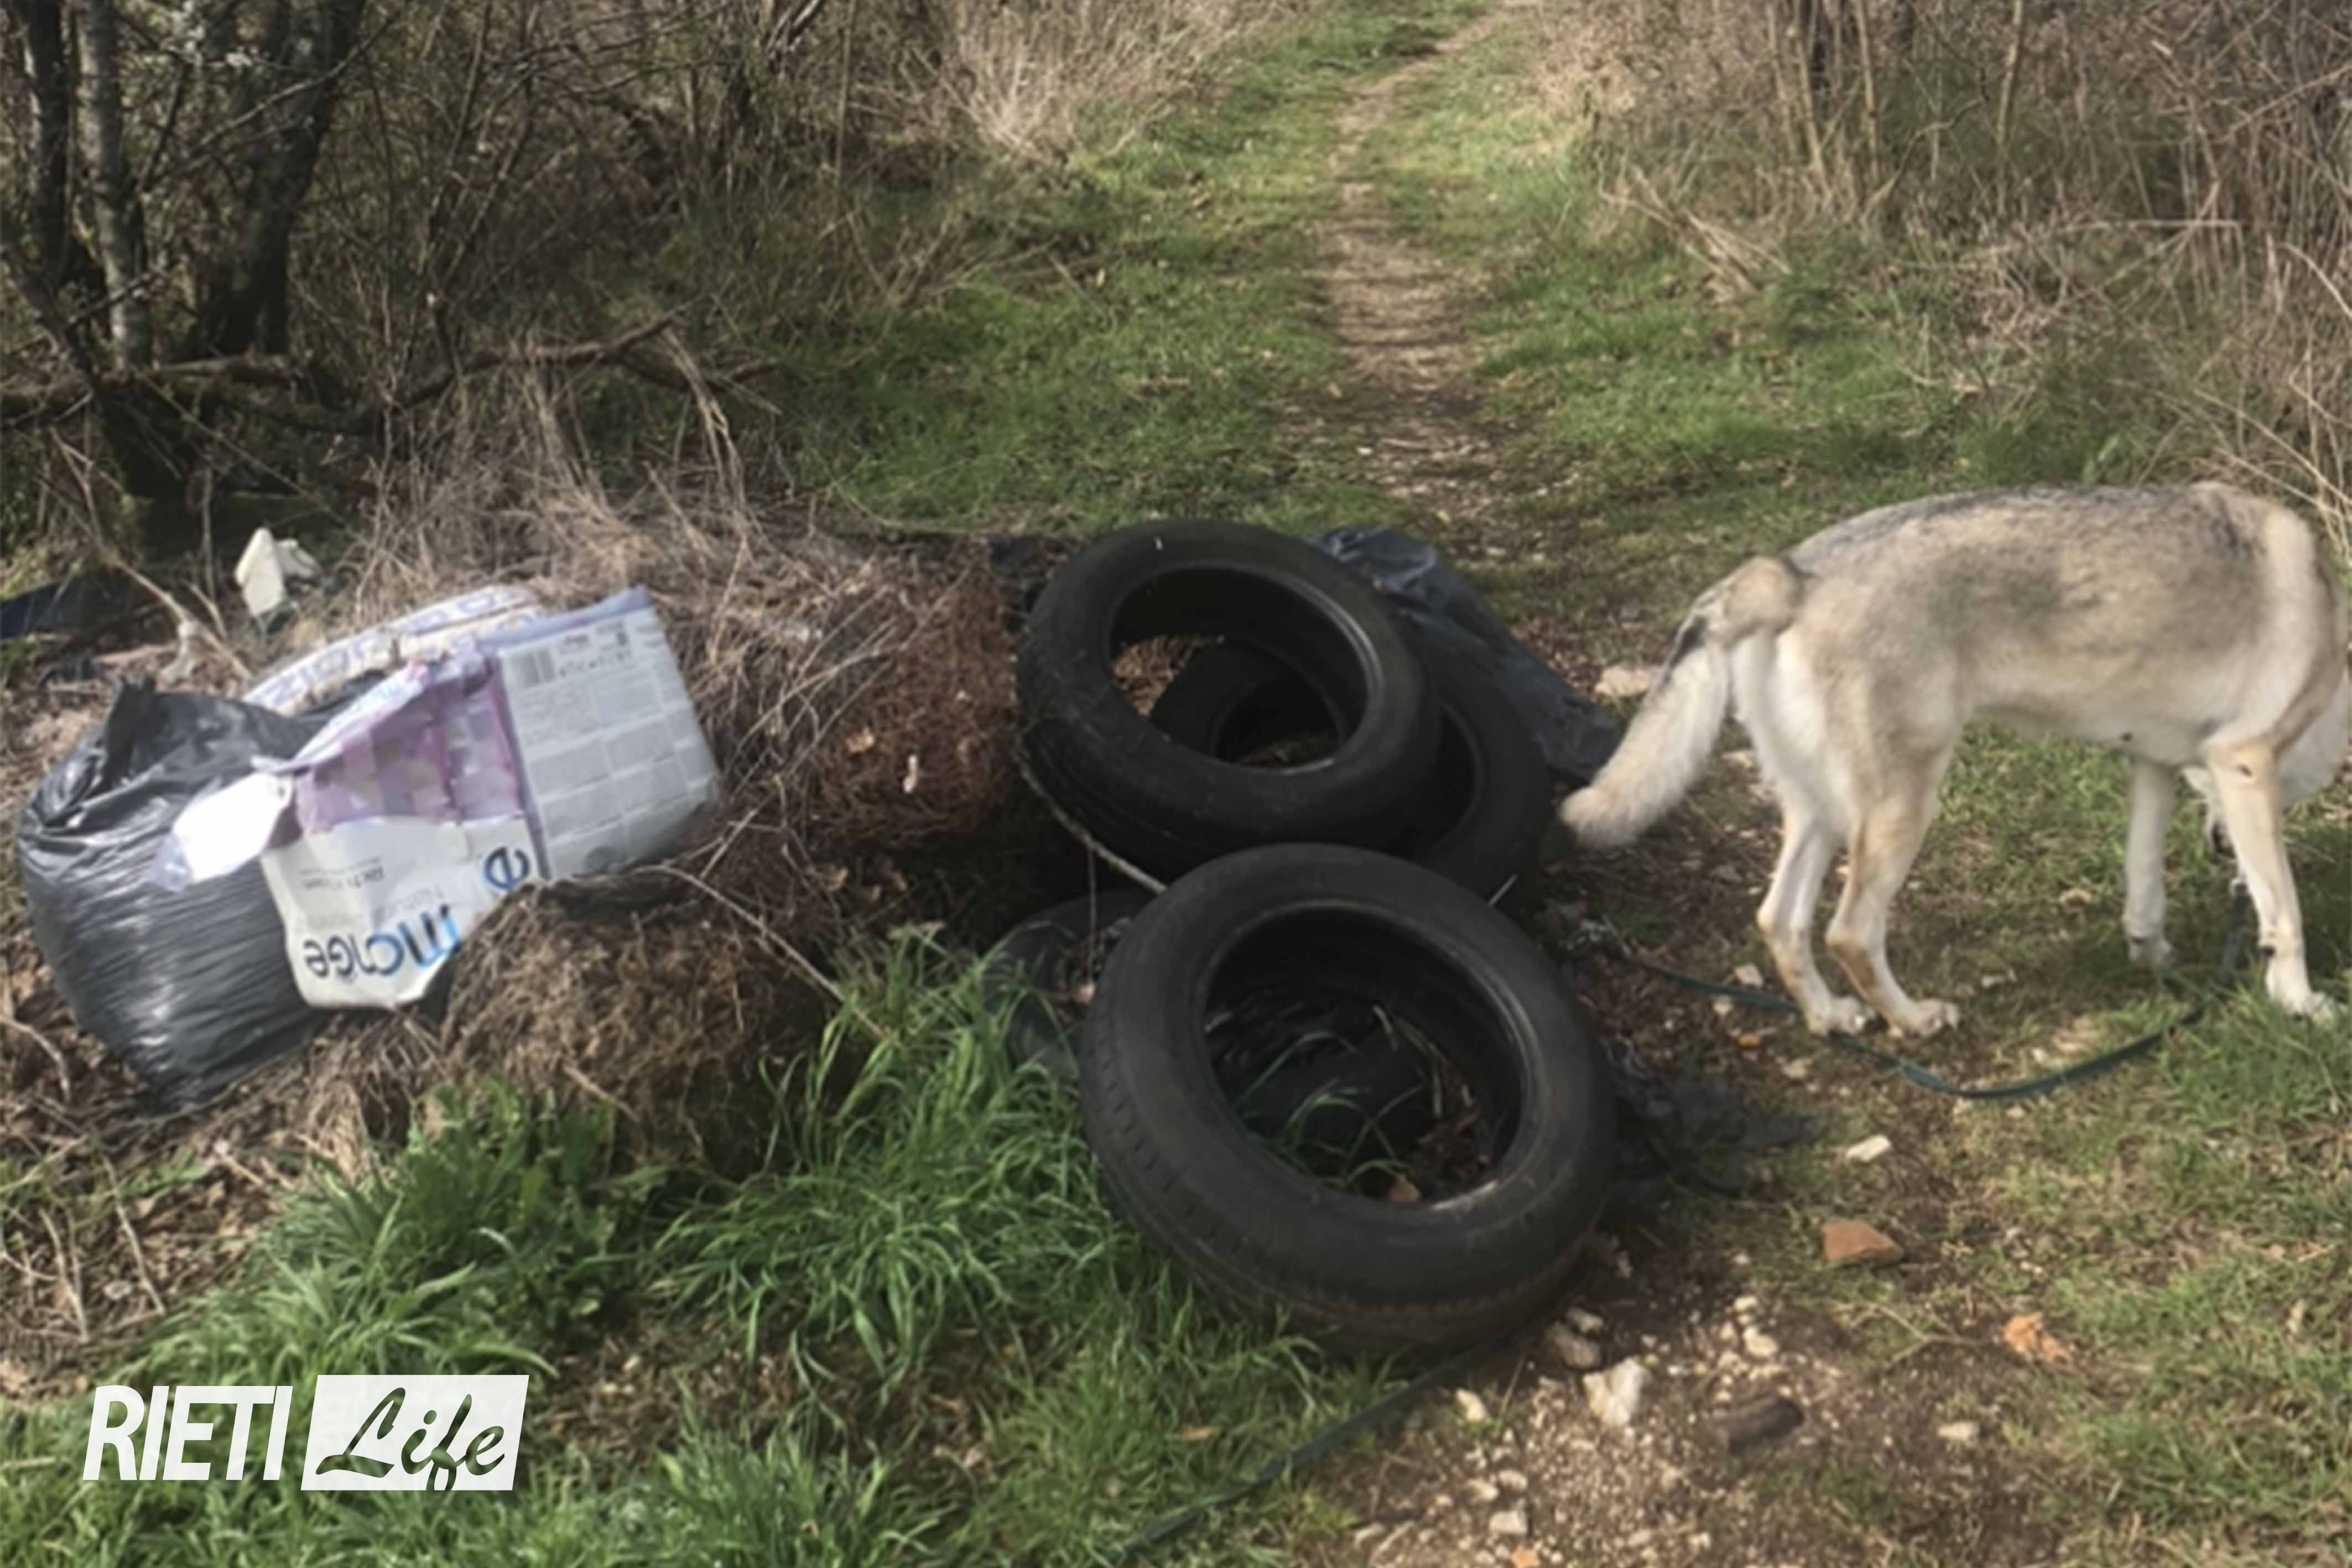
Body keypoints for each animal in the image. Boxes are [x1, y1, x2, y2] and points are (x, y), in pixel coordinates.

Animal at [1560, 483, 2351, 1037]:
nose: (2218, 848)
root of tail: (1790, 574)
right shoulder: (2244, 766)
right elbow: (2285, 914)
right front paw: (2300, 1004)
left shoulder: (2152, 770)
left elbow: (2143, 884)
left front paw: (2153, 956)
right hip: (1900, 811)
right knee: (1850, 933)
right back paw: (1912, 1021)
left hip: (1823, 814)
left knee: (1779, 922)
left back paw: (1830, 1018)